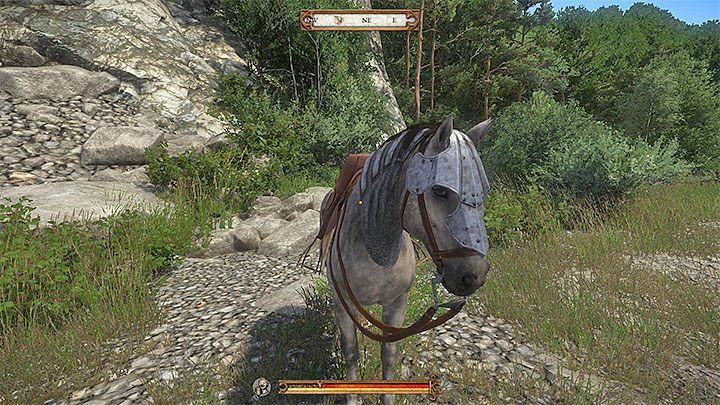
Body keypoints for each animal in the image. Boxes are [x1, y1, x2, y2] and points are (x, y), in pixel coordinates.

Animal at [319, 115, 493, 405]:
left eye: (481, 195)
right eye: (439, 191)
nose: (474, 276)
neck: (377, 251)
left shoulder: (397, 305)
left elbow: (389, 354)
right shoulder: (343, 304)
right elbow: (350, 350)